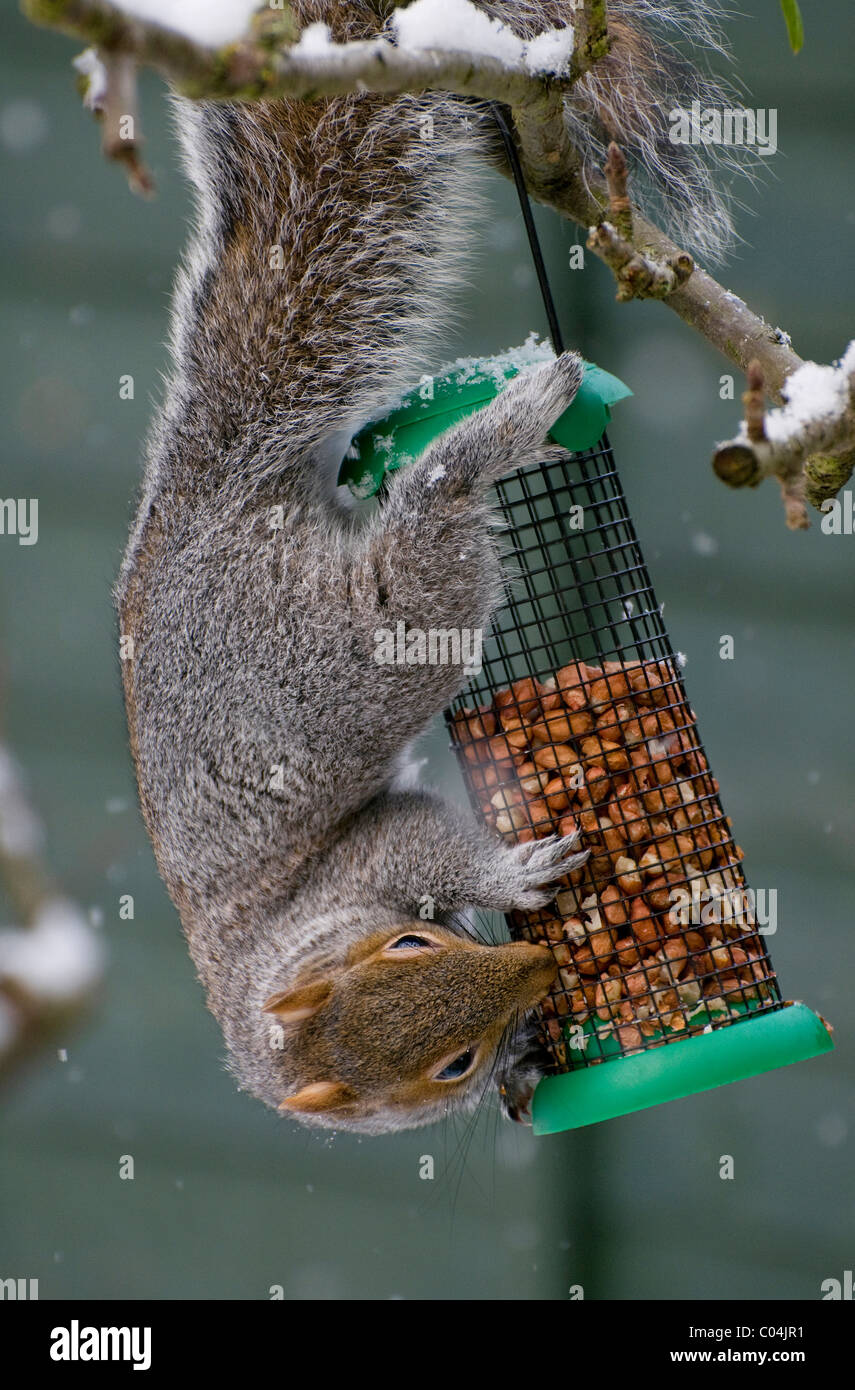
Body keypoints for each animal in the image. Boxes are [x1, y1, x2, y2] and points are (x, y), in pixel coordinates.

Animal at [116, 1, 738, 1134]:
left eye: (412, 942)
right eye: (449, 1065)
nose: (535, 978)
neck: (288, 959)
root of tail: (208, 505)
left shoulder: (375, 855)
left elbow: (424, 841)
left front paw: (509, 871)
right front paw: (527, 1056)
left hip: (361, 641)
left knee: (430, 510)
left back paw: (508, 422)